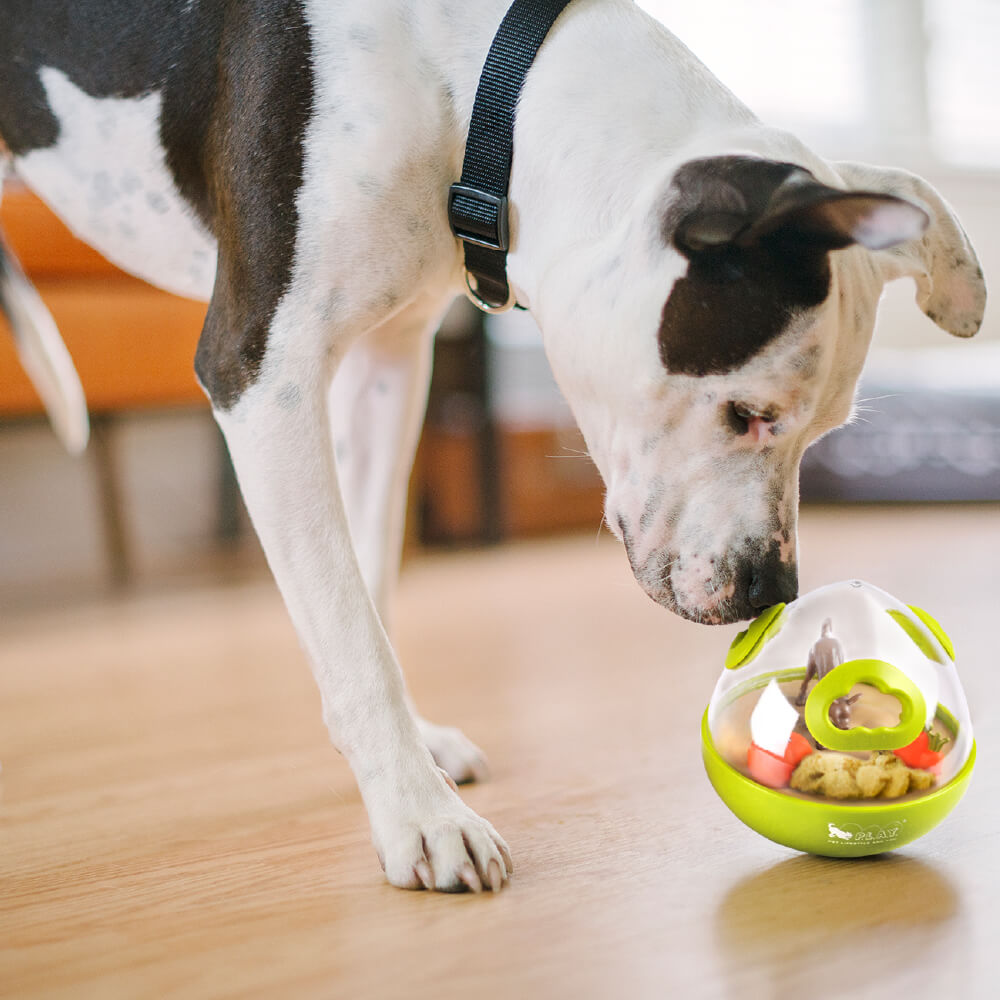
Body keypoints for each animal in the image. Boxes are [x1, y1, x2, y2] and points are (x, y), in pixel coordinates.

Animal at [0, 0, 984, 892]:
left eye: (822, 432)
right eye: (748, 412)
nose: (769, 590)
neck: (470, 81)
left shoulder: (389, 366)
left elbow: (367, 587)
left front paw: (405, 760)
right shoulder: (262, 374)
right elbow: (349, 630)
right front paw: (419, 815)